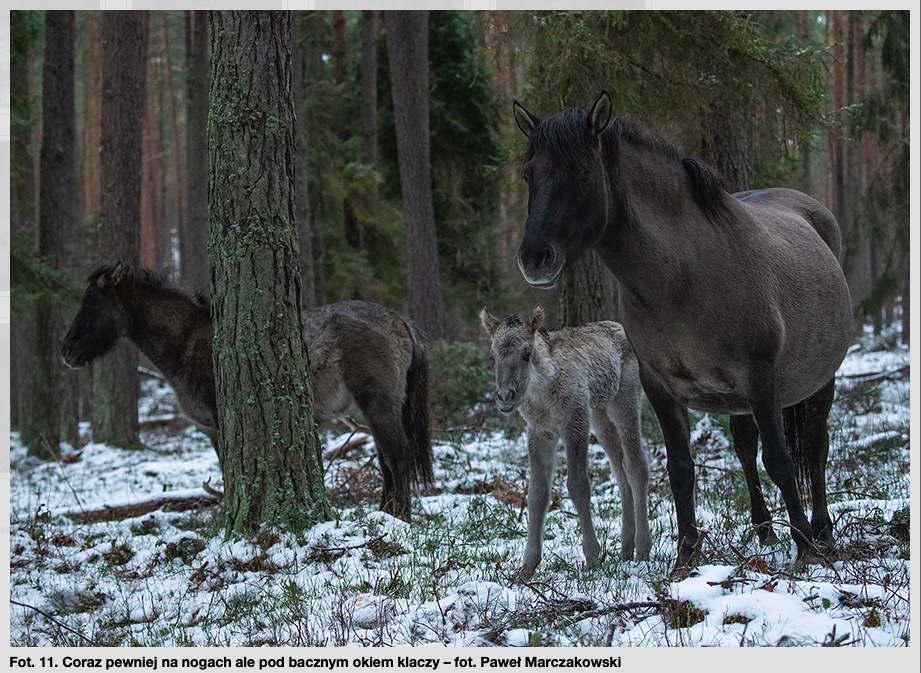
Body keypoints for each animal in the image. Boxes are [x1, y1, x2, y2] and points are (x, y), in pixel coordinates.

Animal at [61, 262, 434, 520]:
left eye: (91, 301)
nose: (67, 351)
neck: (190, 342)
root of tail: (399, 321)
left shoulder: (221, 426)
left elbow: (230, 475)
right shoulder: (213, 431)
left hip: (378, 404)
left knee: (398, 456)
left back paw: (399, 518)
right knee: (386, 460)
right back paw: (386, 513)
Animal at [478, 304, 652, 576]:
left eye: (526, 354)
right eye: (492, 357)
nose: (505, 396)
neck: (542, 390)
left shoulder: (576, 419)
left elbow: (578, 485)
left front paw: (592, 556)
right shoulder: (540, 431)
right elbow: (537, 493)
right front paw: (528, 564)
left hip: (624, 401)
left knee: (636, 465)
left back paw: (643, 548)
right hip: (599, 415)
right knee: (619, 468)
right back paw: (626, 546)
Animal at [510, 92, 848, 568]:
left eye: (583, 171)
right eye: (529, 175)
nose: (534, 259)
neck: (684, 278)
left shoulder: (760, 378)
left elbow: (781, 460)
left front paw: (805, 549)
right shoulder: (661, 387)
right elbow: (681, 468)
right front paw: (686, 554)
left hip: (818, 380)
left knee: (815, 446)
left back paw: (822, 531)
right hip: (738, 400)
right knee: (745, 446)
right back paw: (763, 531)